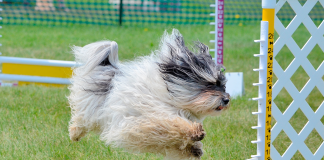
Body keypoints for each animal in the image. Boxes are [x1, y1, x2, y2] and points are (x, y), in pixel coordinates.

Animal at [67, 28, 230, 159]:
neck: (170, 96)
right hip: (90, 108)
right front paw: (194, 132)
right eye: (210, 84)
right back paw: (74, 134)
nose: (226, 100)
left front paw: (194, 148)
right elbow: (170, 124)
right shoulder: (145, 120)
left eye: (222, 85)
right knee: (81, 120)